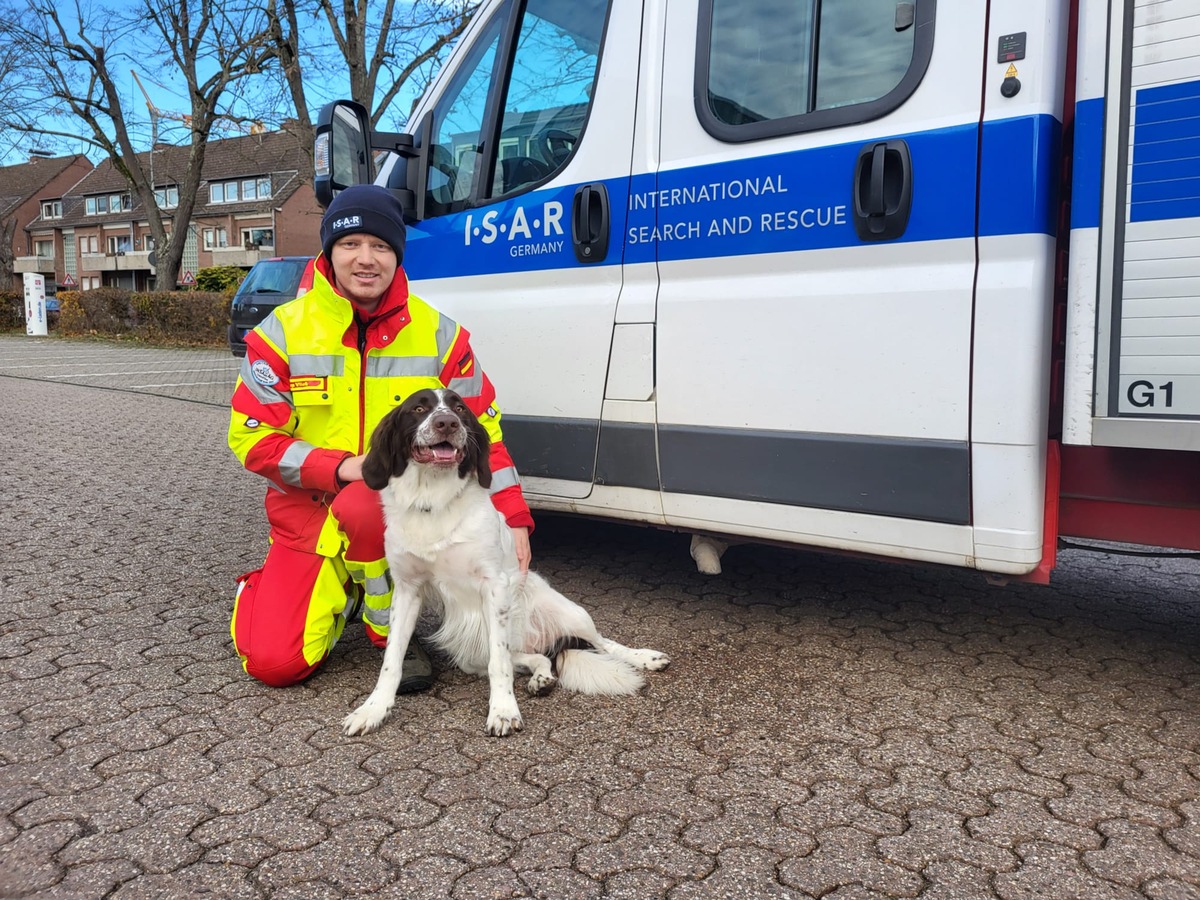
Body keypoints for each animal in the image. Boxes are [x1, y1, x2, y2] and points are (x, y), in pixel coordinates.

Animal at [343, 388, 672, 739]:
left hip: (574, 614)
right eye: (418, 408)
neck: (434, 500)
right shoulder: (407, 590)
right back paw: (542, 678)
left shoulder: (495, 587)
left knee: (604, 643)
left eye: (460, 408)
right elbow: (391, 660)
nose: (447, 423)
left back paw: (645, 657)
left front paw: (503, 711)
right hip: (474, 655)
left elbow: (498, 665)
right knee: (537, 657)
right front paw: (373, 709)